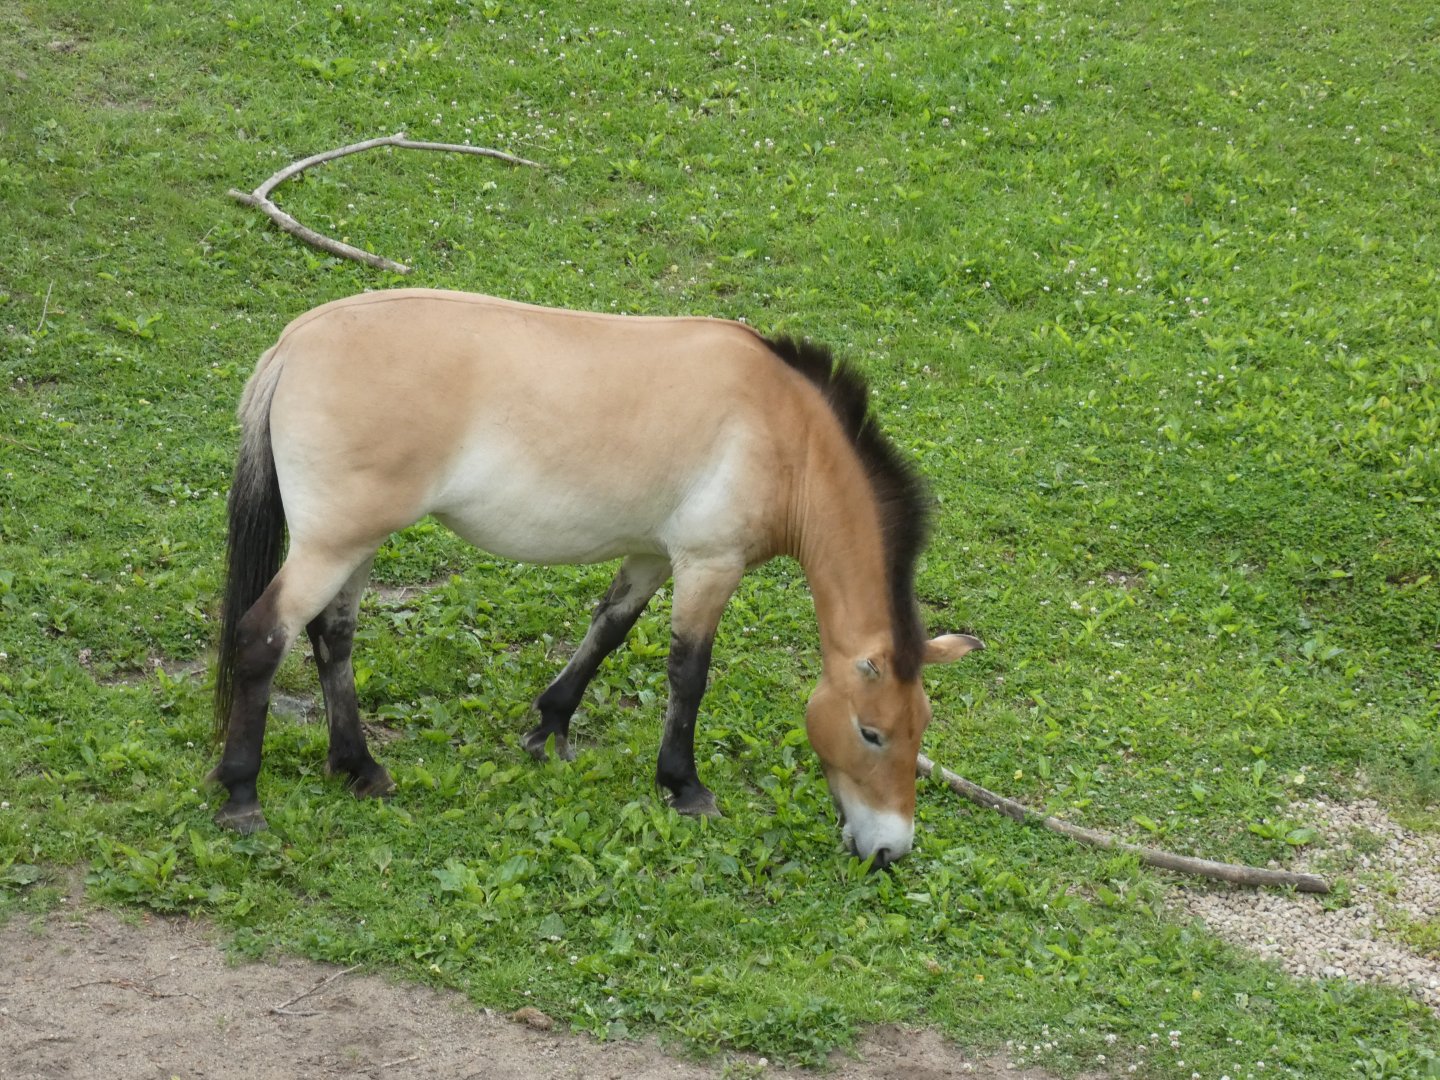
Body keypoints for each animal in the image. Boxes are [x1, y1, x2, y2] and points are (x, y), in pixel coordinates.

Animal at [211, 289, 981, 868]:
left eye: (921, 728)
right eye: (872, 733)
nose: (891, 850)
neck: (785, 433)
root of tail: (295, 344)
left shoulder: (651, 555)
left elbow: (607, 629)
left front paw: (548, 726)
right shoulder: (709, 565)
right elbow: (687, 673)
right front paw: (684, 786)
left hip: (357, 544)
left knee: (331, 635)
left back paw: (358, 766)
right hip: (331, 545)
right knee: (263, 638)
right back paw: (242, 796)